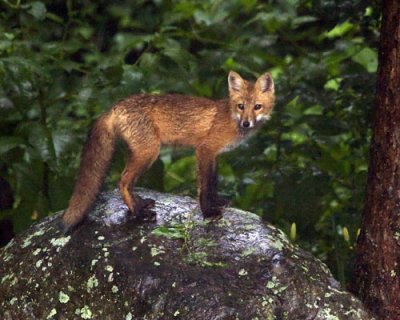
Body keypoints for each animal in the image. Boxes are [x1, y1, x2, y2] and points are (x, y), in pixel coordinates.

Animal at [61, 70, 276, 231]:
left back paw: (139, 205)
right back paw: (139, 214)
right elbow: (204, 186)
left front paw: (217, 201)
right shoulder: (204, 150)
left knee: (127, 183)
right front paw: (208, 213)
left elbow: (213, 183)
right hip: (149, 153)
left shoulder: (215, 155)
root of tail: (115, 106)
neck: (230, 118)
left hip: (139, 153)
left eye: (257, 107)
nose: (246, 123)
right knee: (122, 182)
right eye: (241, 106)